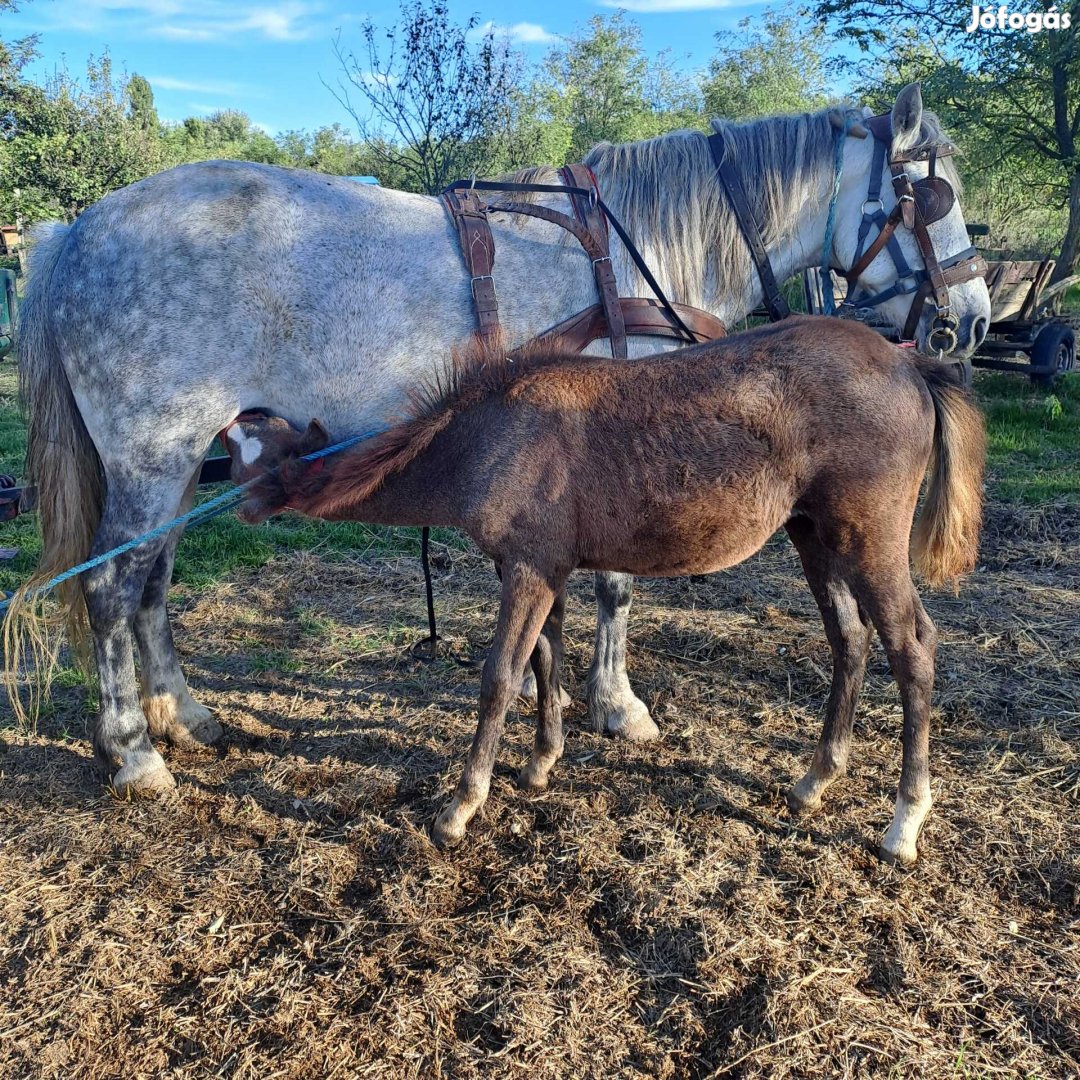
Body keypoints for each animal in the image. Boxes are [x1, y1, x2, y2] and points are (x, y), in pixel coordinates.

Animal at [12, 84, 989, 794]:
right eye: (932, 197)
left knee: (151, 586)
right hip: (153, 452)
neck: (628, 255)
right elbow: (617, 588)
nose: (974, 319)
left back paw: (184, 715)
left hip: (183, 462)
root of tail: (74, 233)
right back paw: (134, 751)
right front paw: (617, 704)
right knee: (109, 588)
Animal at [238, 315, 989, 864]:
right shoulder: (545, 567)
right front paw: (540, 765)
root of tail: (909, 364)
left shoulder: (530, 566)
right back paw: (814, 781)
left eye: (259, 459)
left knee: (912, 646)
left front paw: (460, 807)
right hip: (815, 538)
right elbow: (545, 660)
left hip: (870, 539)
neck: (488, 434)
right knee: (849, 641)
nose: (240, 509)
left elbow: (500, 675)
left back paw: (904, 823)